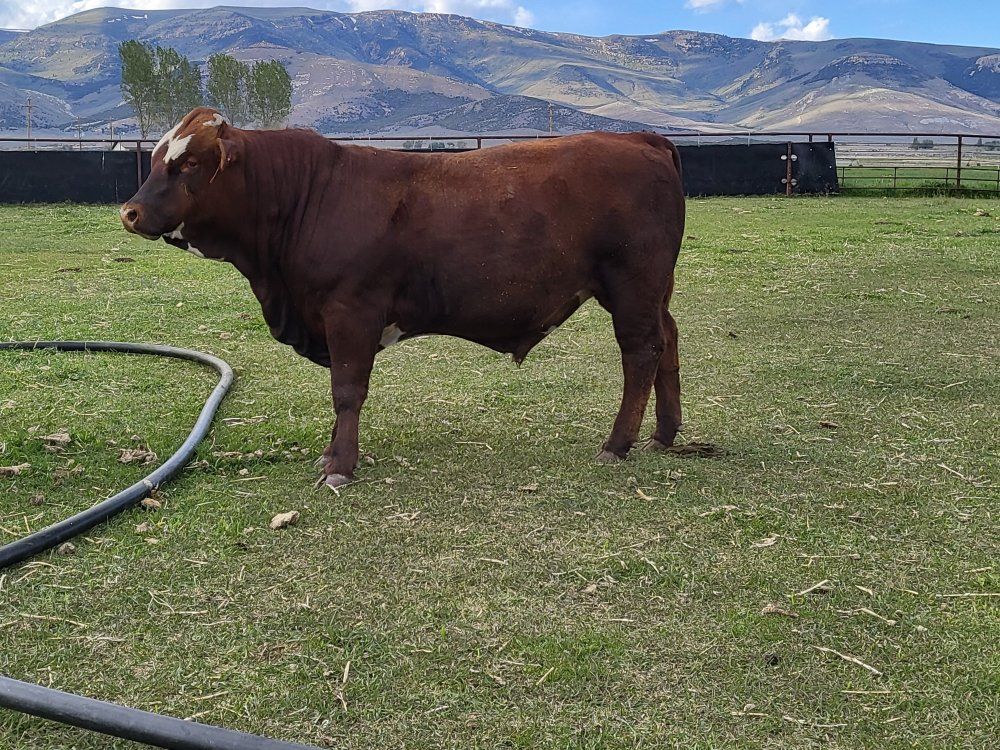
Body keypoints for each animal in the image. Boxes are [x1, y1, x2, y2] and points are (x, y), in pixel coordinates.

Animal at [120, 107, 686, 489]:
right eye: (157, 158)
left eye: (188, 162)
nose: (129, 212)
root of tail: (641, 138)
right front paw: (330, 455)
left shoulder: (351, 312)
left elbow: (347, 391)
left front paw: (340, 466)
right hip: (650, 290)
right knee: (669, 339)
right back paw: (664, 433)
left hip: (631, 283)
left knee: (641, 352)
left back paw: (618, 444)